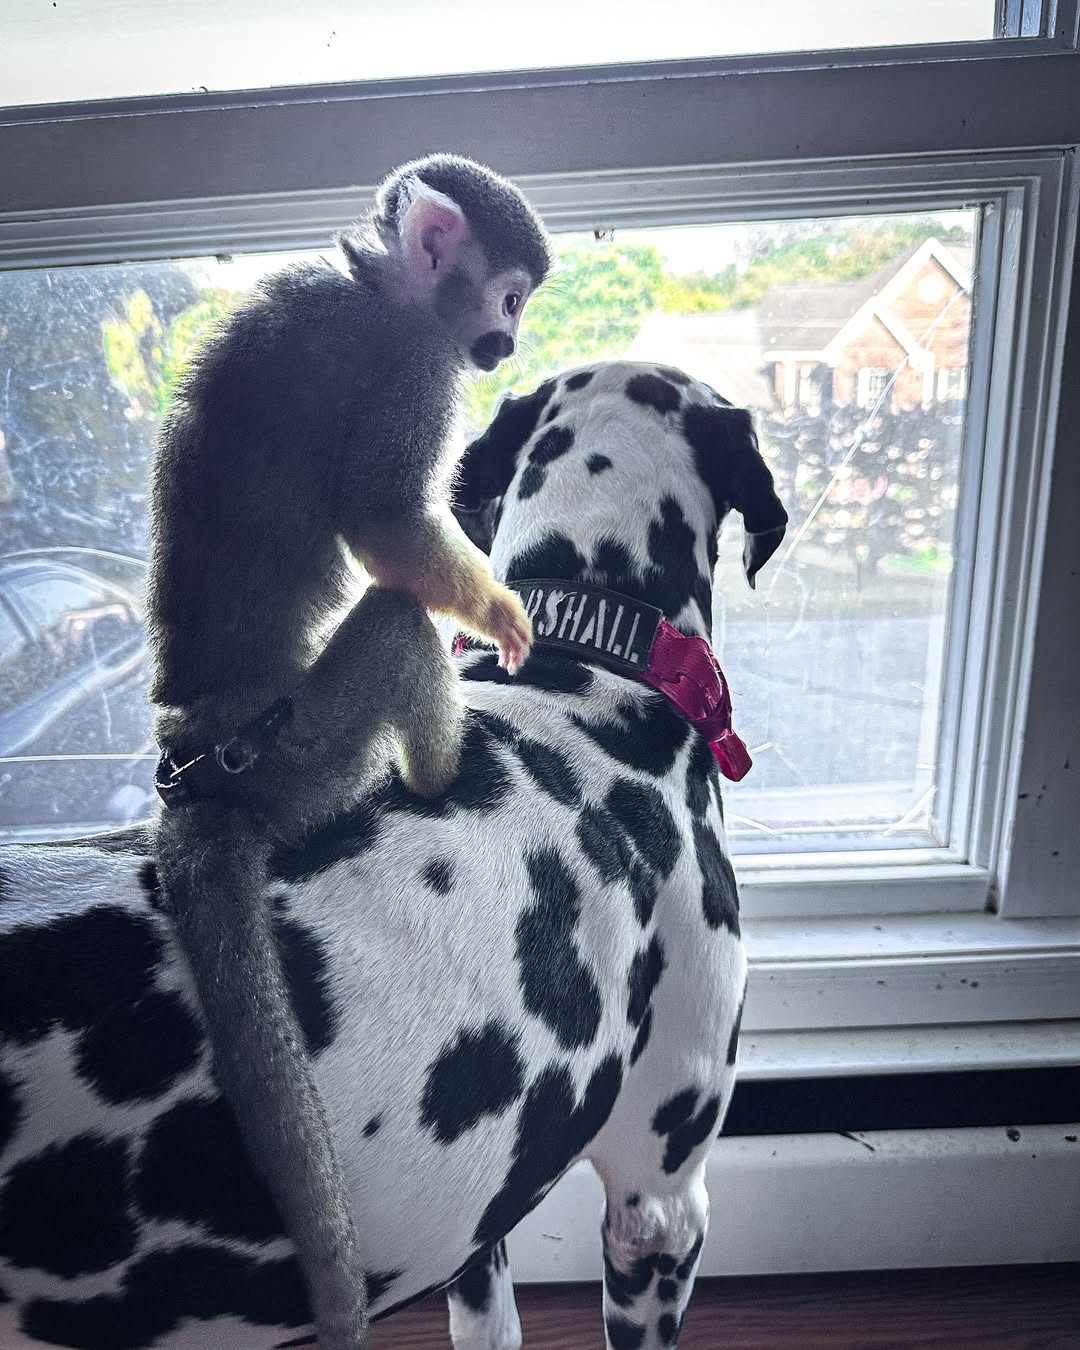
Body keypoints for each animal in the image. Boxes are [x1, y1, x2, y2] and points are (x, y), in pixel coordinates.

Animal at [145, 154, 550, 1349]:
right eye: (509, 299)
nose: (505, 345)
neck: (376, 287)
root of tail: (200, 777)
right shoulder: (411, 370)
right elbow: (382, 525)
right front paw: (499, 615)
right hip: (309, 753)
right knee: (396, 621)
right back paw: (439, 768)